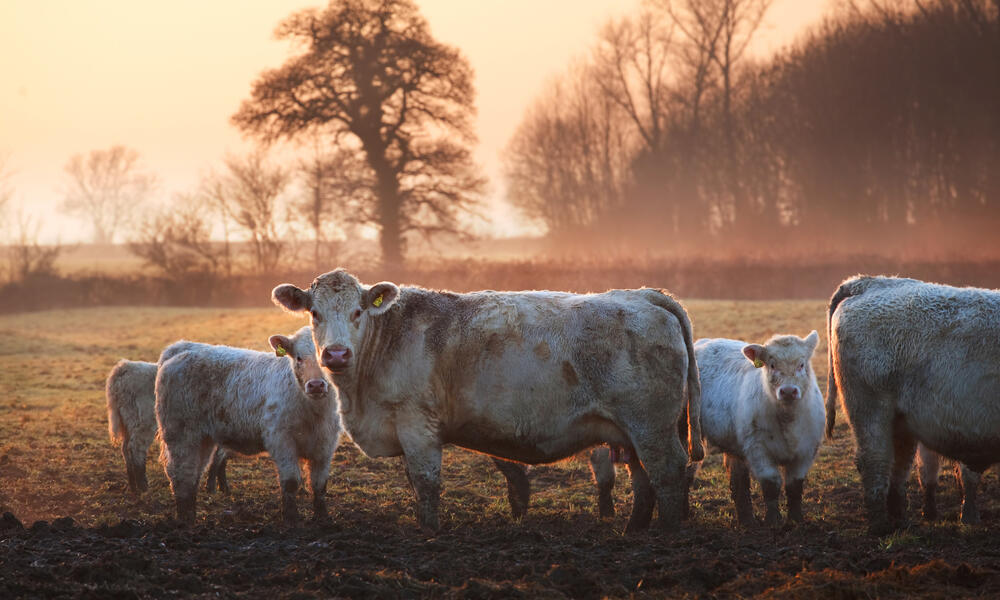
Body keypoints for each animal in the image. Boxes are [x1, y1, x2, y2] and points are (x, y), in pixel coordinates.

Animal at [272, 269, 702, 533]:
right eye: (314, 312)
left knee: (667, 471)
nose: (336, 354)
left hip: (652, 427)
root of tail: (643, 295)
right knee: (643, 479)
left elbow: (426, 481)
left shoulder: (417, 424)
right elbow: (414, 481)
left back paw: (666, 533)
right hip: (632, 432)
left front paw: (429, 530)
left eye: (359, 311)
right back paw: (634, 530)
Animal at [827, 275, 1000, 534]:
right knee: (874, 462)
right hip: (870, 412)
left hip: (901, 422)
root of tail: (866, 282)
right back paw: (880, 525)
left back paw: (901, 520)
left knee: (898, 466)